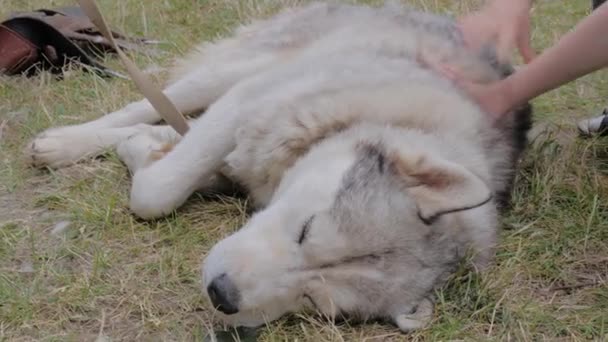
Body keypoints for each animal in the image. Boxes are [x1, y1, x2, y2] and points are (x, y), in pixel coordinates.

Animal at [26, 0, 528, 332]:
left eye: (314, 300)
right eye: (306, 229)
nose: (222, 296)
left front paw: (149, 147)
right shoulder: (255, 102)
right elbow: (156, 192)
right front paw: (139, 152)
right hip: (248, 66)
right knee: (149, 102)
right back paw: (63, 143)